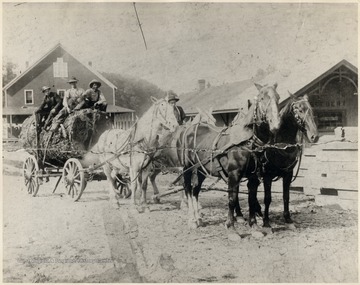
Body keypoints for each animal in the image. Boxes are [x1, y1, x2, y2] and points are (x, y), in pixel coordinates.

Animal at [246, 93, 320, 226]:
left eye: (311, 110)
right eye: (299, 110)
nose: (314, 136)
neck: (281, 145)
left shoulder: (288, 174)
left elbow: (286, 196)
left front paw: (287, 218)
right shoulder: (267, 176)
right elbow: (267, 198)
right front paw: (266, 221)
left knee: (251, 188)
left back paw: (256, 212)